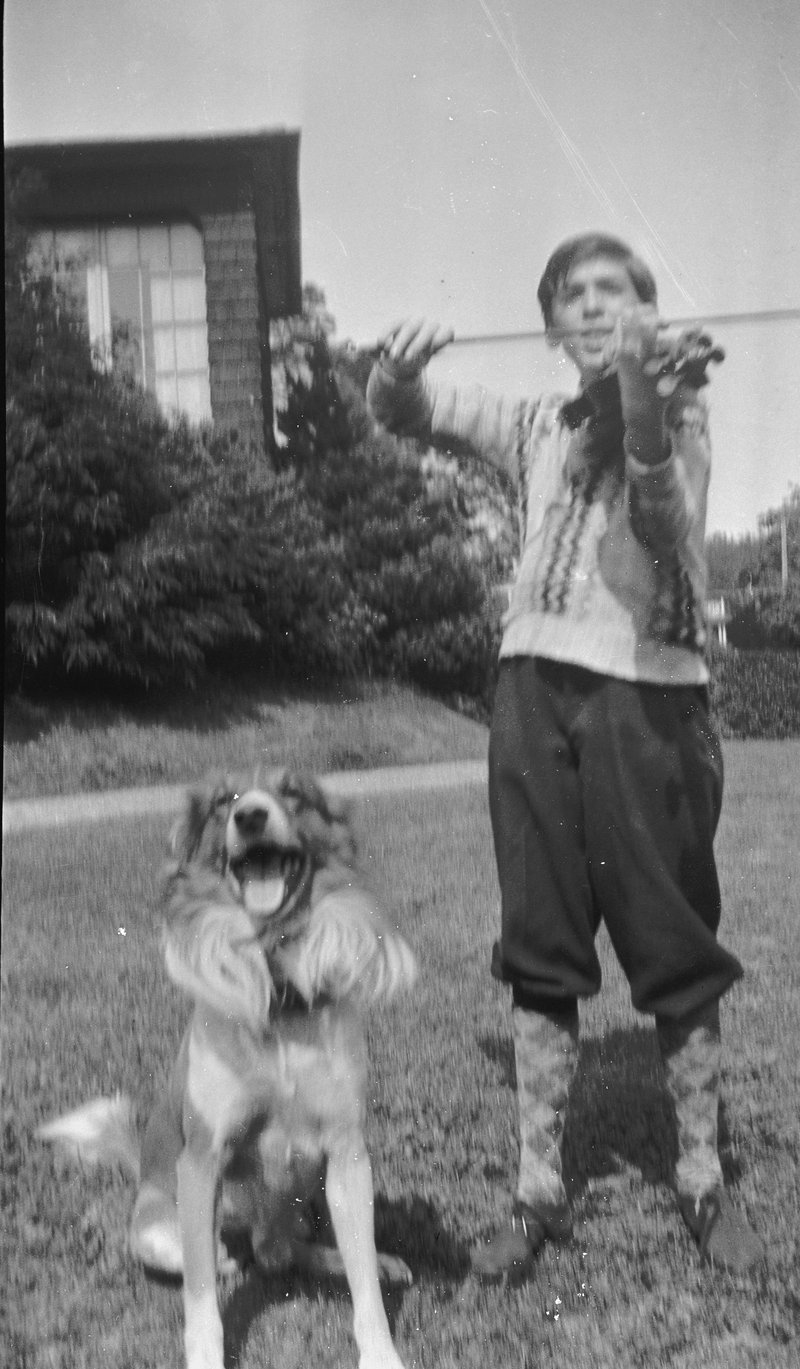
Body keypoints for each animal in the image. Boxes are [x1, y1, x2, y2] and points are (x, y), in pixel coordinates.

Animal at [38, 772, 416, 1369]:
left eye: (293, 792)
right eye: (224, 800)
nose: (252, 818)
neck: (278, 1002)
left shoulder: (348, 1154)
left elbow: (366, 1291)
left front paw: (380, 1349)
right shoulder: (202, 1160)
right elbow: (202, 1307)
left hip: (309, 1196)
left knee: (285, 1251)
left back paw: (369, 1260)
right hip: (157, 1229)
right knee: (228, 1258)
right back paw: (228, 1258)